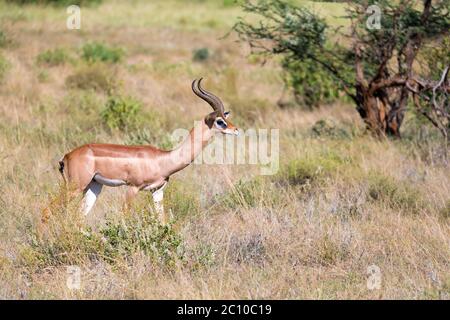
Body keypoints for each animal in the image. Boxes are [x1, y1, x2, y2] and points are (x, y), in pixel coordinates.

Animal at [51, 79, 239, 221]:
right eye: (220, 121)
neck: (162, 160)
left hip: (93, 187)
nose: (236, 130)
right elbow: (125, 217)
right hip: (74, 187)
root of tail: (67, 156)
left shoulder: (157, 191)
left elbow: (162, 220)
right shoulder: (132, 188)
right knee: (49, 210)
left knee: (78, 217)